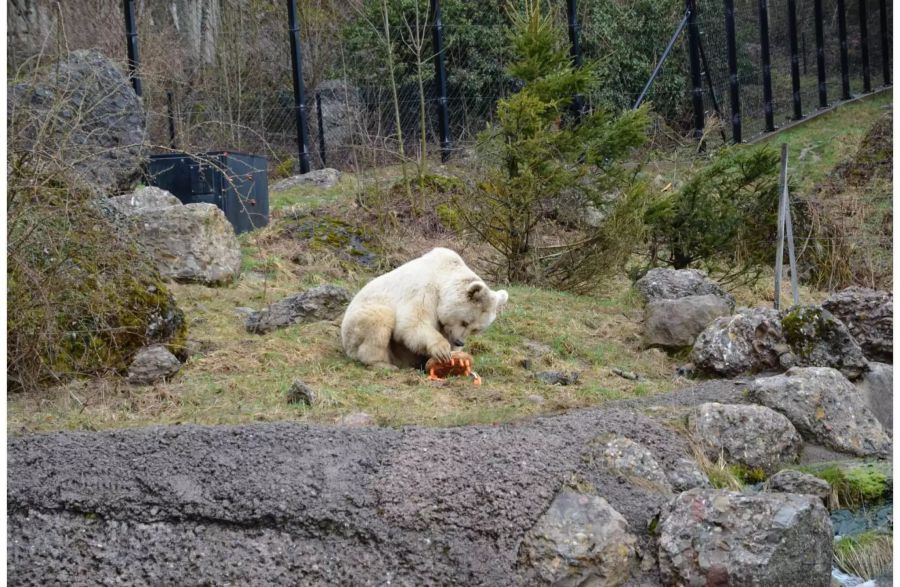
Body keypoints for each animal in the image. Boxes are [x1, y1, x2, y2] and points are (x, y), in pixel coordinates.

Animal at [340, 247, 506, 368]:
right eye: (465, 322)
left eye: (476, 329)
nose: (460, 342)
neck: (443, 274)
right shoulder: (424, 289)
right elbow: (413, 322)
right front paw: (442, 350)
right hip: (355, 324)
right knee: (380, 318)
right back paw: (382, 364)